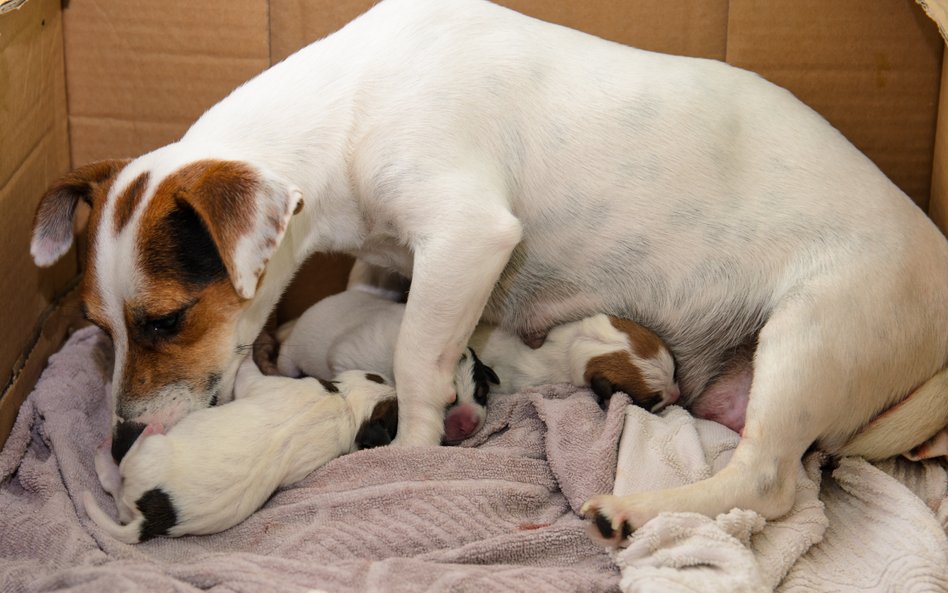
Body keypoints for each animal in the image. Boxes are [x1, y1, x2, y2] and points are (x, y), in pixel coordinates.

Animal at [80, 358, 392, 544]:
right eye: (378, 377)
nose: (388, 375)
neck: (346, 404)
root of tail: (151, 520)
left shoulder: (264, 383)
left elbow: (248, 375)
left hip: (150, 457)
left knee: (120, 469)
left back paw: (125, 441)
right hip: (129, 503)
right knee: (116, 496)